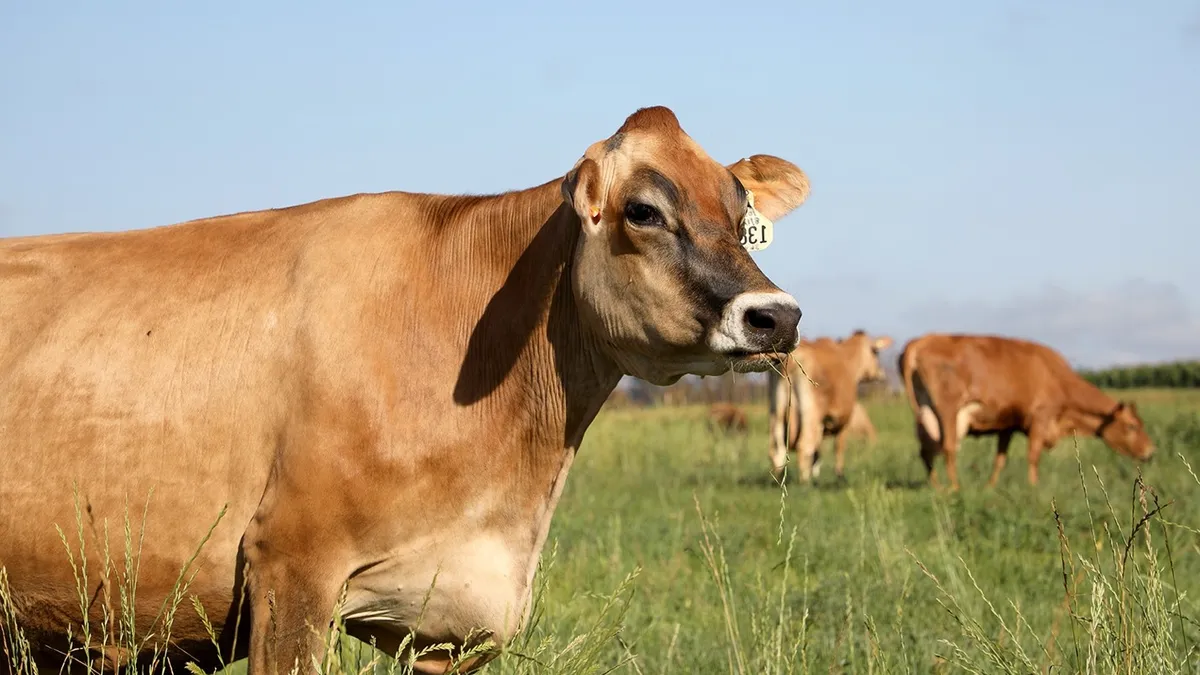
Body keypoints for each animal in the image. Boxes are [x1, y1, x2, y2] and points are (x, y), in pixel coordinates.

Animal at [768, 329, 892, 480]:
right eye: (876, 352)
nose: (881, 374)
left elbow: (818, 452)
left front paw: (815, 474)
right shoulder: (843, 421)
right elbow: (838, 447)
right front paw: (839, 475)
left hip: (777, 413)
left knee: (777, 450)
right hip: (810, 414)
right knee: (804, 446)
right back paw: (805, 481)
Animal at [897, 331, 1156, 485]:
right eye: (1132, 426)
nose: (1150, 451)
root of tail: (922, 340)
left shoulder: (1007, 424)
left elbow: (1000, 459)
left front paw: (991, 487)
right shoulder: (1040, 418)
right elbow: (1033, 456)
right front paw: (1034, 488)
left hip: (925, 414)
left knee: (927, 451)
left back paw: (936, 487)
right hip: (948, 411)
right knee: (948, 448)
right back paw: (954, 488)